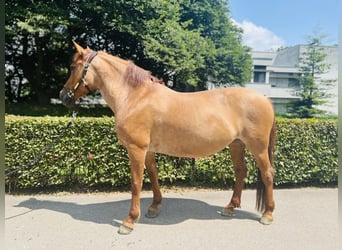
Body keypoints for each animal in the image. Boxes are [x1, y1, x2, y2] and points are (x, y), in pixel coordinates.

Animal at [60, 41, 276, 234]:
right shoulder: (148, 150)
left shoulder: (136, 149)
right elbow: (153, 175)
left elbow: (136, 183)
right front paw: (155, 206)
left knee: (267, 174)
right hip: (236, 144)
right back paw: (230, 207)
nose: (63, 96)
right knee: (241, 171)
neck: (135, 97)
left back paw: (268, 214)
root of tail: (265, 99)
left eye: (72, 67)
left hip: (258, 147)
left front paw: (129, 221)